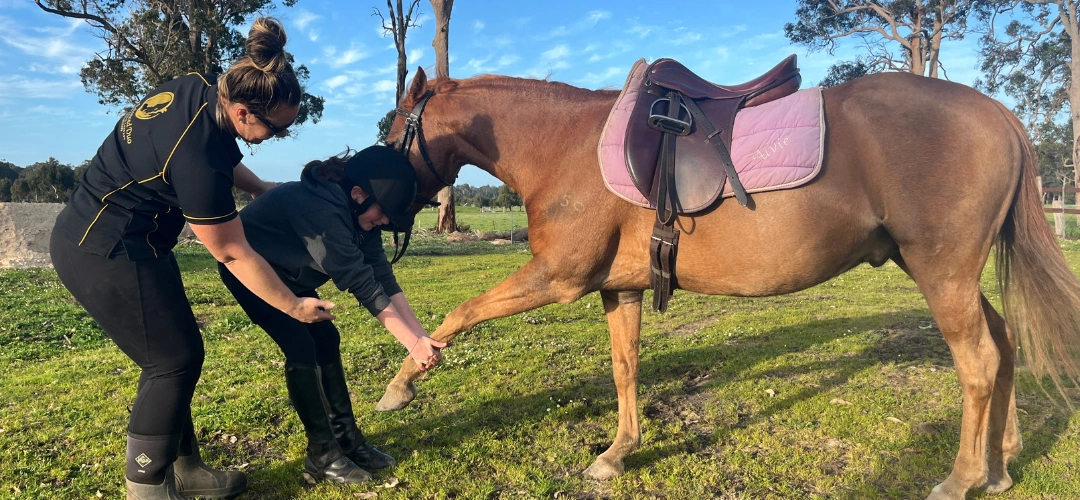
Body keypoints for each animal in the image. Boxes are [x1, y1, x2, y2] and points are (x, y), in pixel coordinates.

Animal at [379, 66, 1080, 499]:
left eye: (390, 130)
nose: (377, 208)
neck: (562, 145)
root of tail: (999, 113)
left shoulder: (558, 278)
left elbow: (460, 314)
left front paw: (400, 385)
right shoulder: (618, 288)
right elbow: (625, 369)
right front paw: (618, 452)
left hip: (941, 268)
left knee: (978, 361)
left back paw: (961, 477)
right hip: (943, 269)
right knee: (1005, 344)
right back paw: (1000, 465)